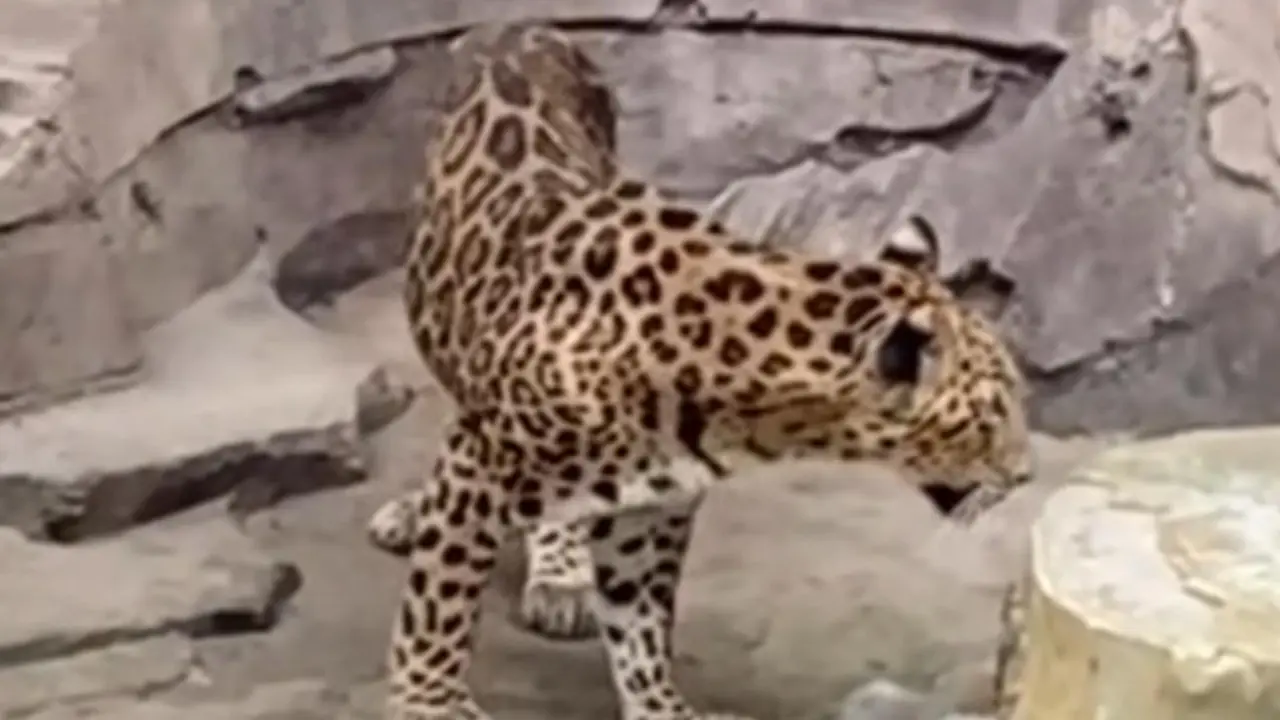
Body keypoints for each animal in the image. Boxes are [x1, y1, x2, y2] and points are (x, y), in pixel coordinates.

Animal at [375, 22, 1034, 720]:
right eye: (990, 415)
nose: (1026, 476)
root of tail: (521, 28)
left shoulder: (655, 506)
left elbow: (639, 620)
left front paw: (658, 703)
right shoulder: (482, 460)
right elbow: (440, 600)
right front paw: (430, 699)